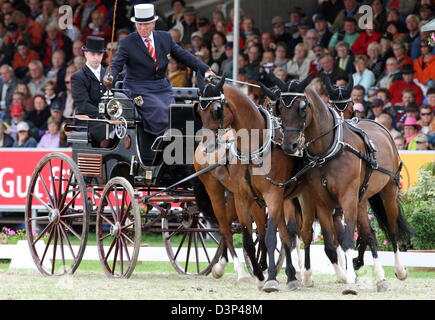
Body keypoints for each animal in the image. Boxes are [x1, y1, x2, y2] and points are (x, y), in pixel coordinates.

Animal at [196, 74, 304, 292]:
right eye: (199, 110)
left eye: (217, 110)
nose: (207, 145)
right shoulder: (243, 197)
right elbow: (247, 240)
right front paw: (261, 275)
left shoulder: (274, 195)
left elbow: (278, 235)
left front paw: (279, 275)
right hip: (215, 191)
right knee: (225, 228)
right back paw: (237, 271)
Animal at [274, 80, 414, 292]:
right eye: (280, 109)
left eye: (302, 108)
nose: (289, 146)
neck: (327, 150)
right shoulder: (321, 202)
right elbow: (329, 243)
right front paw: (340, 273)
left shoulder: (347, 198)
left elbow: (347, 239)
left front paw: (349, 277)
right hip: (361, 198)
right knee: (368, 233)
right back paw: (379, 277)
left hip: (388, 190)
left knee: (391, 228)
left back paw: (399, 270)